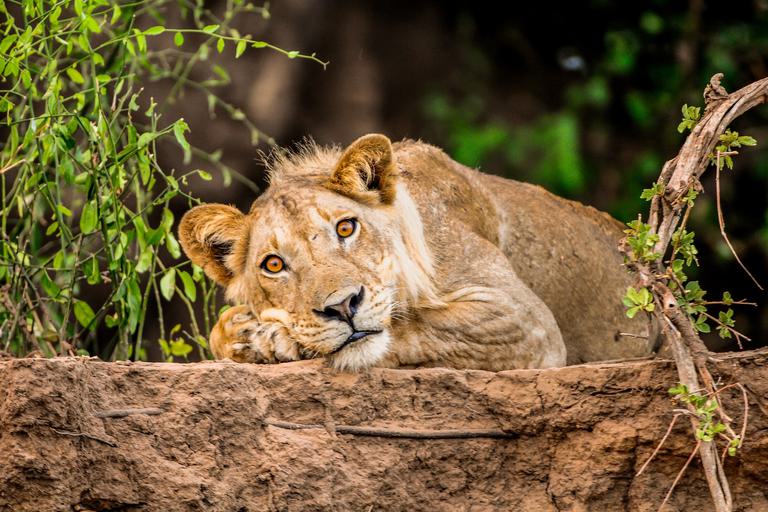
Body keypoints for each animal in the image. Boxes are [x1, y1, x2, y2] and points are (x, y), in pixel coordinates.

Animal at [179, 134, 657, 371]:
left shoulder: (527, 322)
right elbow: (217, 332)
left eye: (346, 227)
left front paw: (273, 340)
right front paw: (243, 336)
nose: (342, 307)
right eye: (274, 265)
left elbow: (416, 326)